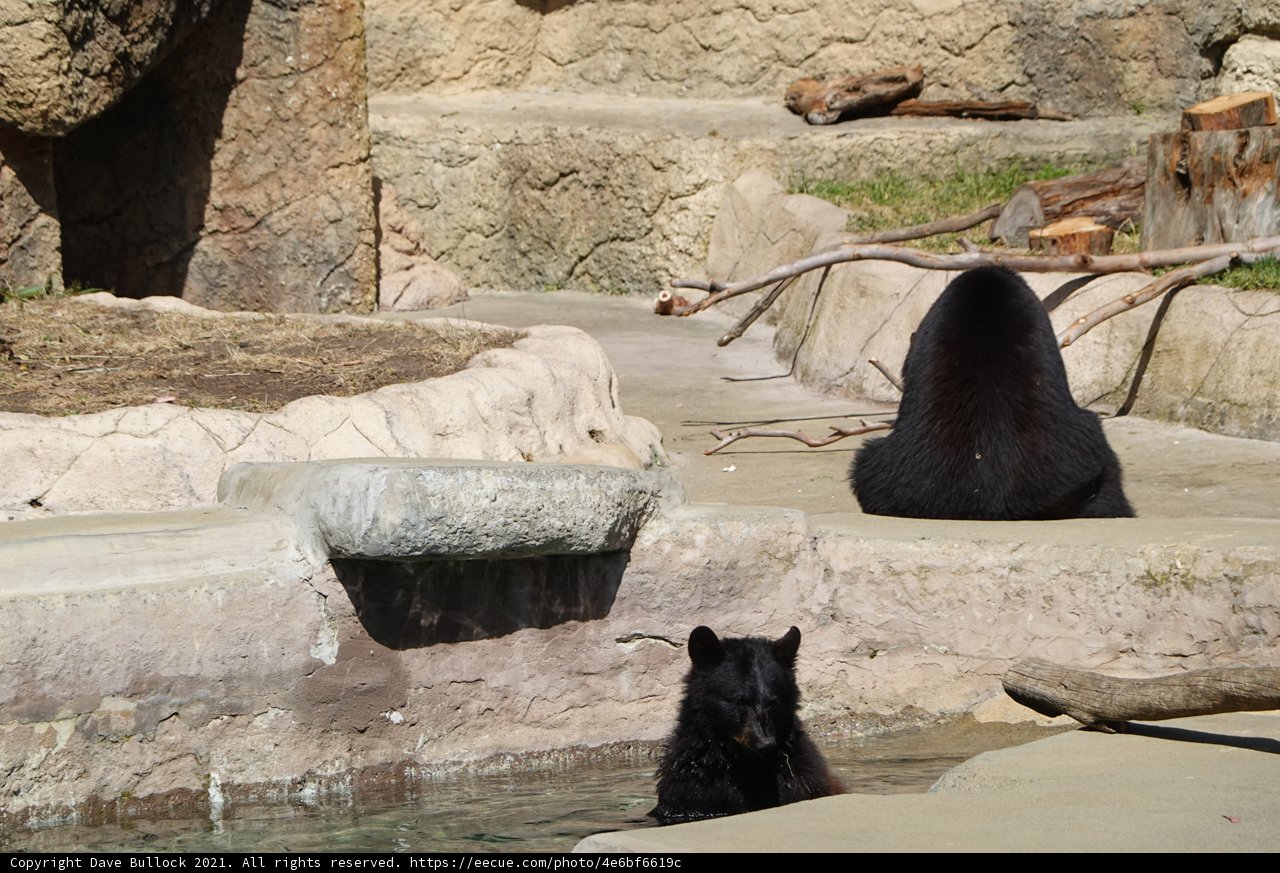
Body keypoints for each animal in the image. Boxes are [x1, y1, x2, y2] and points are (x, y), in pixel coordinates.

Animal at [650, 625, 844, 825]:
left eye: (774, 702)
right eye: (740, 701)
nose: (766, 744)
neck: (747, 764)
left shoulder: (800, 782)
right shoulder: (692, 790)